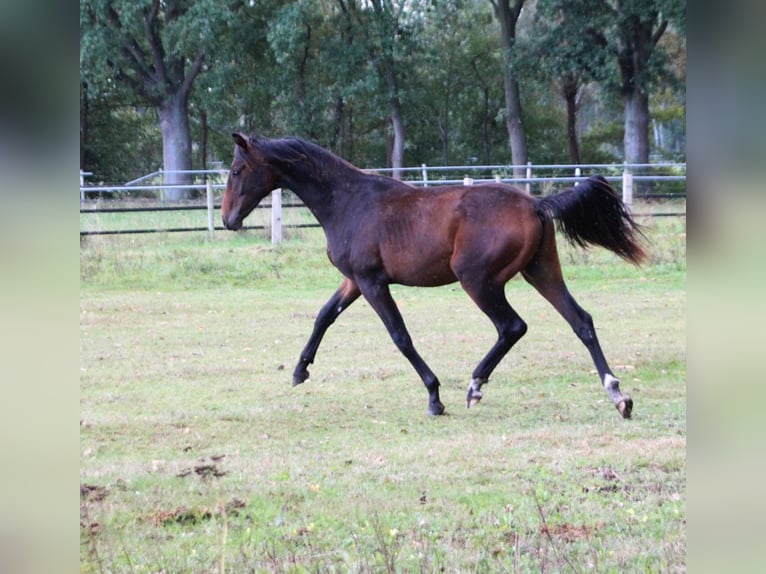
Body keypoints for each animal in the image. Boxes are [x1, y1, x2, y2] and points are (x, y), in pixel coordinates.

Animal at [222, 136, 648, 424]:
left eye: (237, 170)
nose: (228, 219)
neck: (348, 201)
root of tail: (536, 204)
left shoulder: (372, 282)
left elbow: (400, 336)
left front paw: (434, 397)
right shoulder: (355, 281)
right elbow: (324, 316)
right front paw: (300, 371)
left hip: (478, 280)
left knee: (512, 326)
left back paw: (474, 387)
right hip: (541, 271)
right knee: (581, 321)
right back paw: (618, 395)